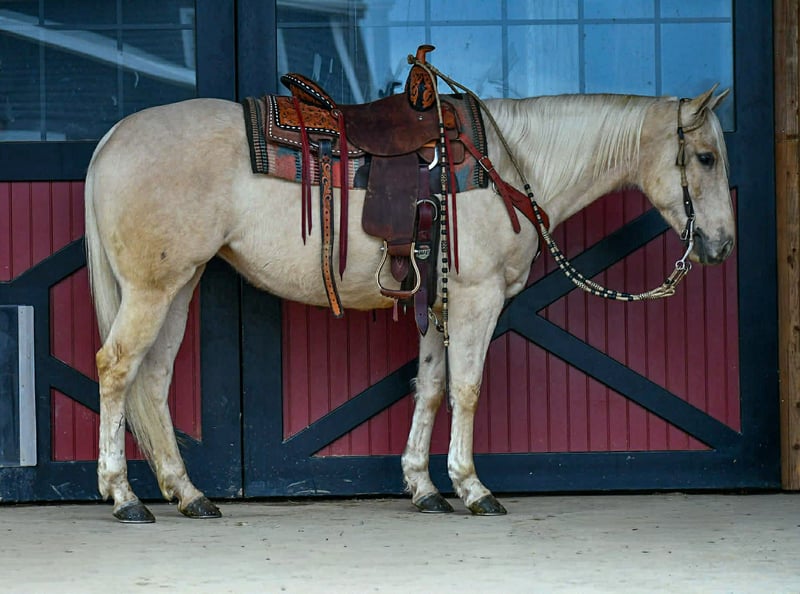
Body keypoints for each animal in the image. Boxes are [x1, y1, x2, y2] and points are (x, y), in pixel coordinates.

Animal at [84, 81, 733, 523]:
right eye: (705, 158)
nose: (722, 245)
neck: (509, 163)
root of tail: (113, 138)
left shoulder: (437, 301)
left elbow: (432, 386)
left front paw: (423, 487)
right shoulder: (476, 298)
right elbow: (467, 388)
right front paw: (473, 487)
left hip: (180, 284)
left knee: (153, 380)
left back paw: (189, 494)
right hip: (152, 289)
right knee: (116, 369)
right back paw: (123, 496)